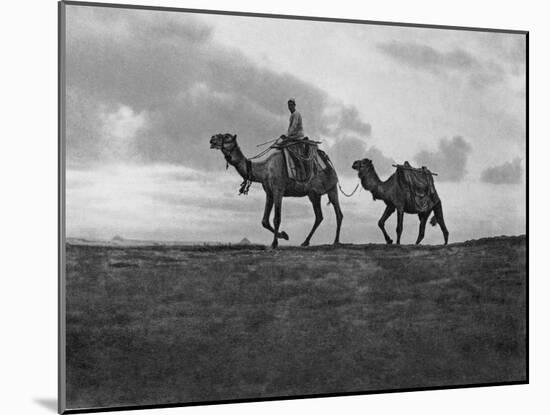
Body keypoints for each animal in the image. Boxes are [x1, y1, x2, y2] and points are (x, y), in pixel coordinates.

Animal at [209, 135, 342, 249]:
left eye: (227, 137)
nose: (212, 139)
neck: (264, 170)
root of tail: (329, 163)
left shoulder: (278, 190)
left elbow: (276, 218)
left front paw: (274, 243)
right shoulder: (269, 192)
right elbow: (264, 221)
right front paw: (284, 235)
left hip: (331, 188)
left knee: (338, 213)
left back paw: (336, 241)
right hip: (314, 194)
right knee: (319, 216)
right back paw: (305, 242)